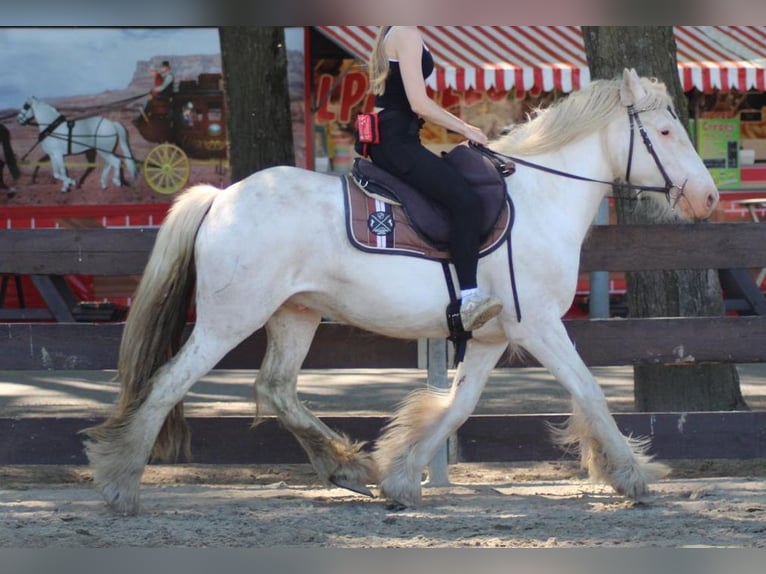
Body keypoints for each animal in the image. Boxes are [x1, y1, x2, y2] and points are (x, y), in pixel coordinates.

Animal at [83, 69, 719, 515]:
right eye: (666, 132)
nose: (709, 197)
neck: (538, 200)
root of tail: (221, 197)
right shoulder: (537, 325)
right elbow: (588, 389)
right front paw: (632, 475)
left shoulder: (491, 337)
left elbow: (458, 405)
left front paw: (401, 477)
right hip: (228, 320)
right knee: (168, 385)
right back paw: (119, 487)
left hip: (295, 314)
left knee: (276, 389)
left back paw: (346, 468)